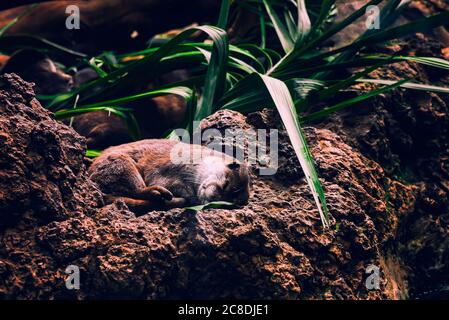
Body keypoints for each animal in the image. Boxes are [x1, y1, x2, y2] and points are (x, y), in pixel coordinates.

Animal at [87, 139, 248, 214]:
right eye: (225, 184)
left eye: (225, 203)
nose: (214, 198)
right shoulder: (164, 169)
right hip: (120, 162)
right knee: (138, 190)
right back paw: (158, 192)